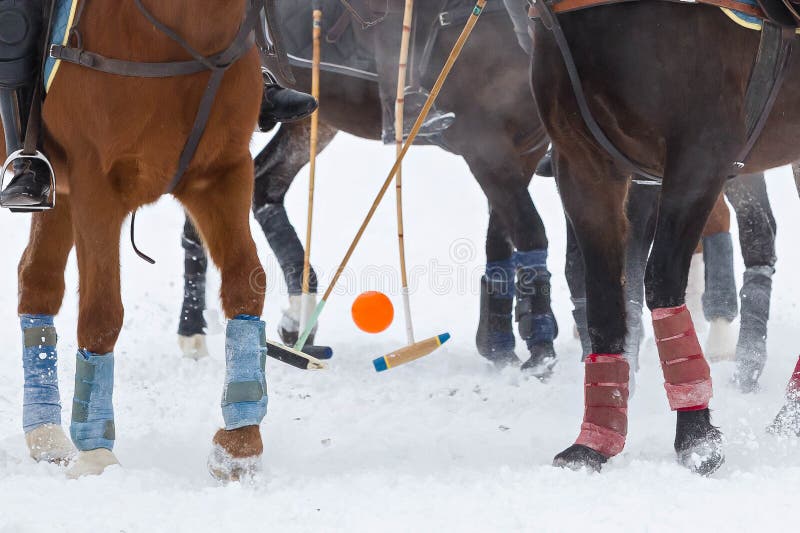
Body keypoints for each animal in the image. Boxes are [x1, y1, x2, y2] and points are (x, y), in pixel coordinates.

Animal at [10, 0, 266, 480]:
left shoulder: (220, 175)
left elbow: (248, 283)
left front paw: (239, 445)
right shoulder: (96, 186)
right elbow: (101, 312)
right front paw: (95, 452)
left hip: (55, 195)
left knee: (37, 280)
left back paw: (46, 437)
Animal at [532, 3, 800, 470]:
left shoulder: (700, 156)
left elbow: (660, 280)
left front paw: (695, 434)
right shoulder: (583, 164)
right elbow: (605, 297)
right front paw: (596, 438)